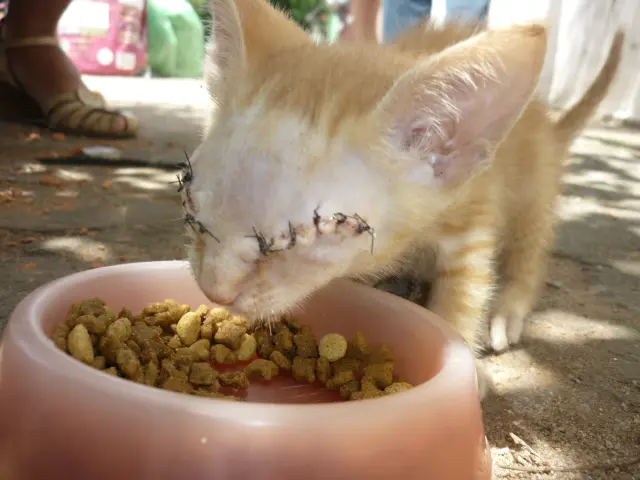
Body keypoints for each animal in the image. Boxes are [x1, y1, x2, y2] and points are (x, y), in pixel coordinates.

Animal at [182, 0, 623, 396]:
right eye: (192, 209)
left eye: (296, 241)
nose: (214, 291)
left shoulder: (474, 217)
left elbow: (464, 293)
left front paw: (465, 357)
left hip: (533, 189)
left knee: (531, 248)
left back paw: (507, 310)